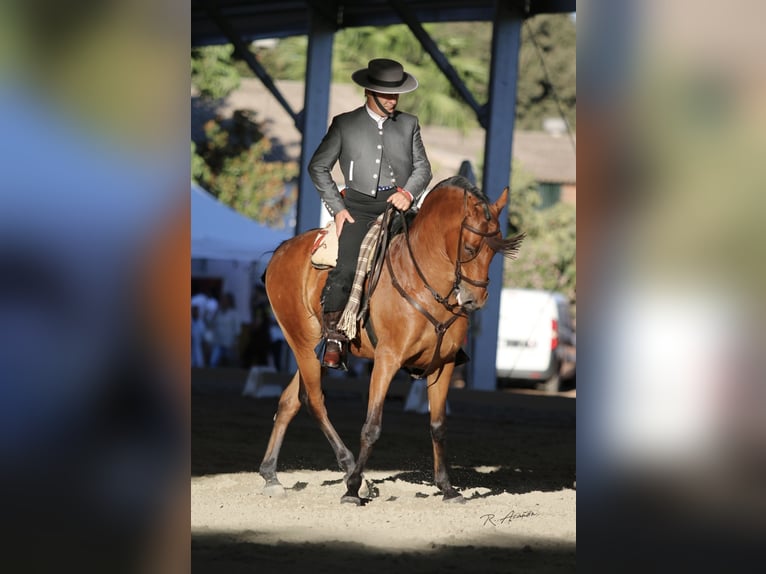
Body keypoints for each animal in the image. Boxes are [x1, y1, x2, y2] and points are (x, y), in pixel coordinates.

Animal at [260, 176, 524, 504]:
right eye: (469, 247)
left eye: (495, 251)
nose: (474, 299)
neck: (425, 281)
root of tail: (282, 250)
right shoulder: (387, 360)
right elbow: (372, 426)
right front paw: (352, 488)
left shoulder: (444, 365)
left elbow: (438, 426)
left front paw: (447, 488)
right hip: (303, 344)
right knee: (314, 401)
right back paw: (350, 471)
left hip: (317, 353)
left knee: (290, 401)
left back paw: (271, 475)